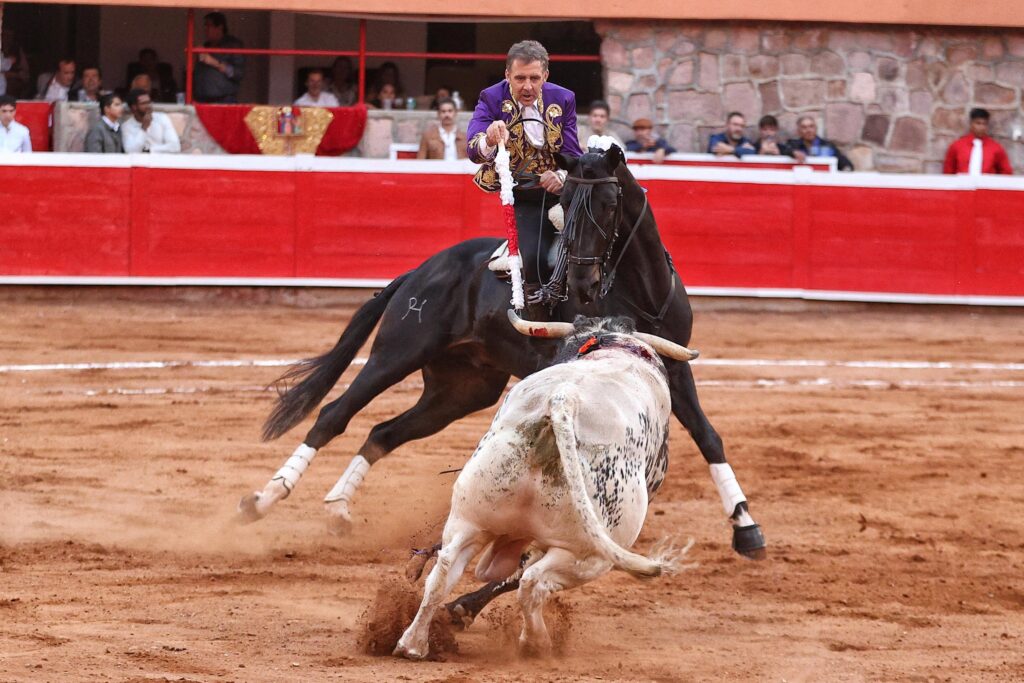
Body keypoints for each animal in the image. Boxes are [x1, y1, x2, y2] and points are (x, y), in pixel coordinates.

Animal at [239, 145, 765, 577]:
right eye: (563, 201)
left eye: (608, 203)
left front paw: (746, 528)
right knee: (335, 414)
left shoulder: (676, 366)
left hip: (461, 389)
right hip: (398, 353)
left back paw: (339, 508)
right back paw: (264, 498)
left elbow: (709, 437)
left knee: (383, 432)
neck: (642, 289)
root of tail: (423, 269)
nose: (583, 284)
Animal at [391, 313, 696, 659]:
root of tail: (563, 400)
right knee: (533, 581)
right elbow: (519, 574)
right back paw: (535, 643)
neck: (613, 349)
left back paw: (412, 643)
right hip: (591, 554)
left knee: (444, 571)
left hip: (470, 516)